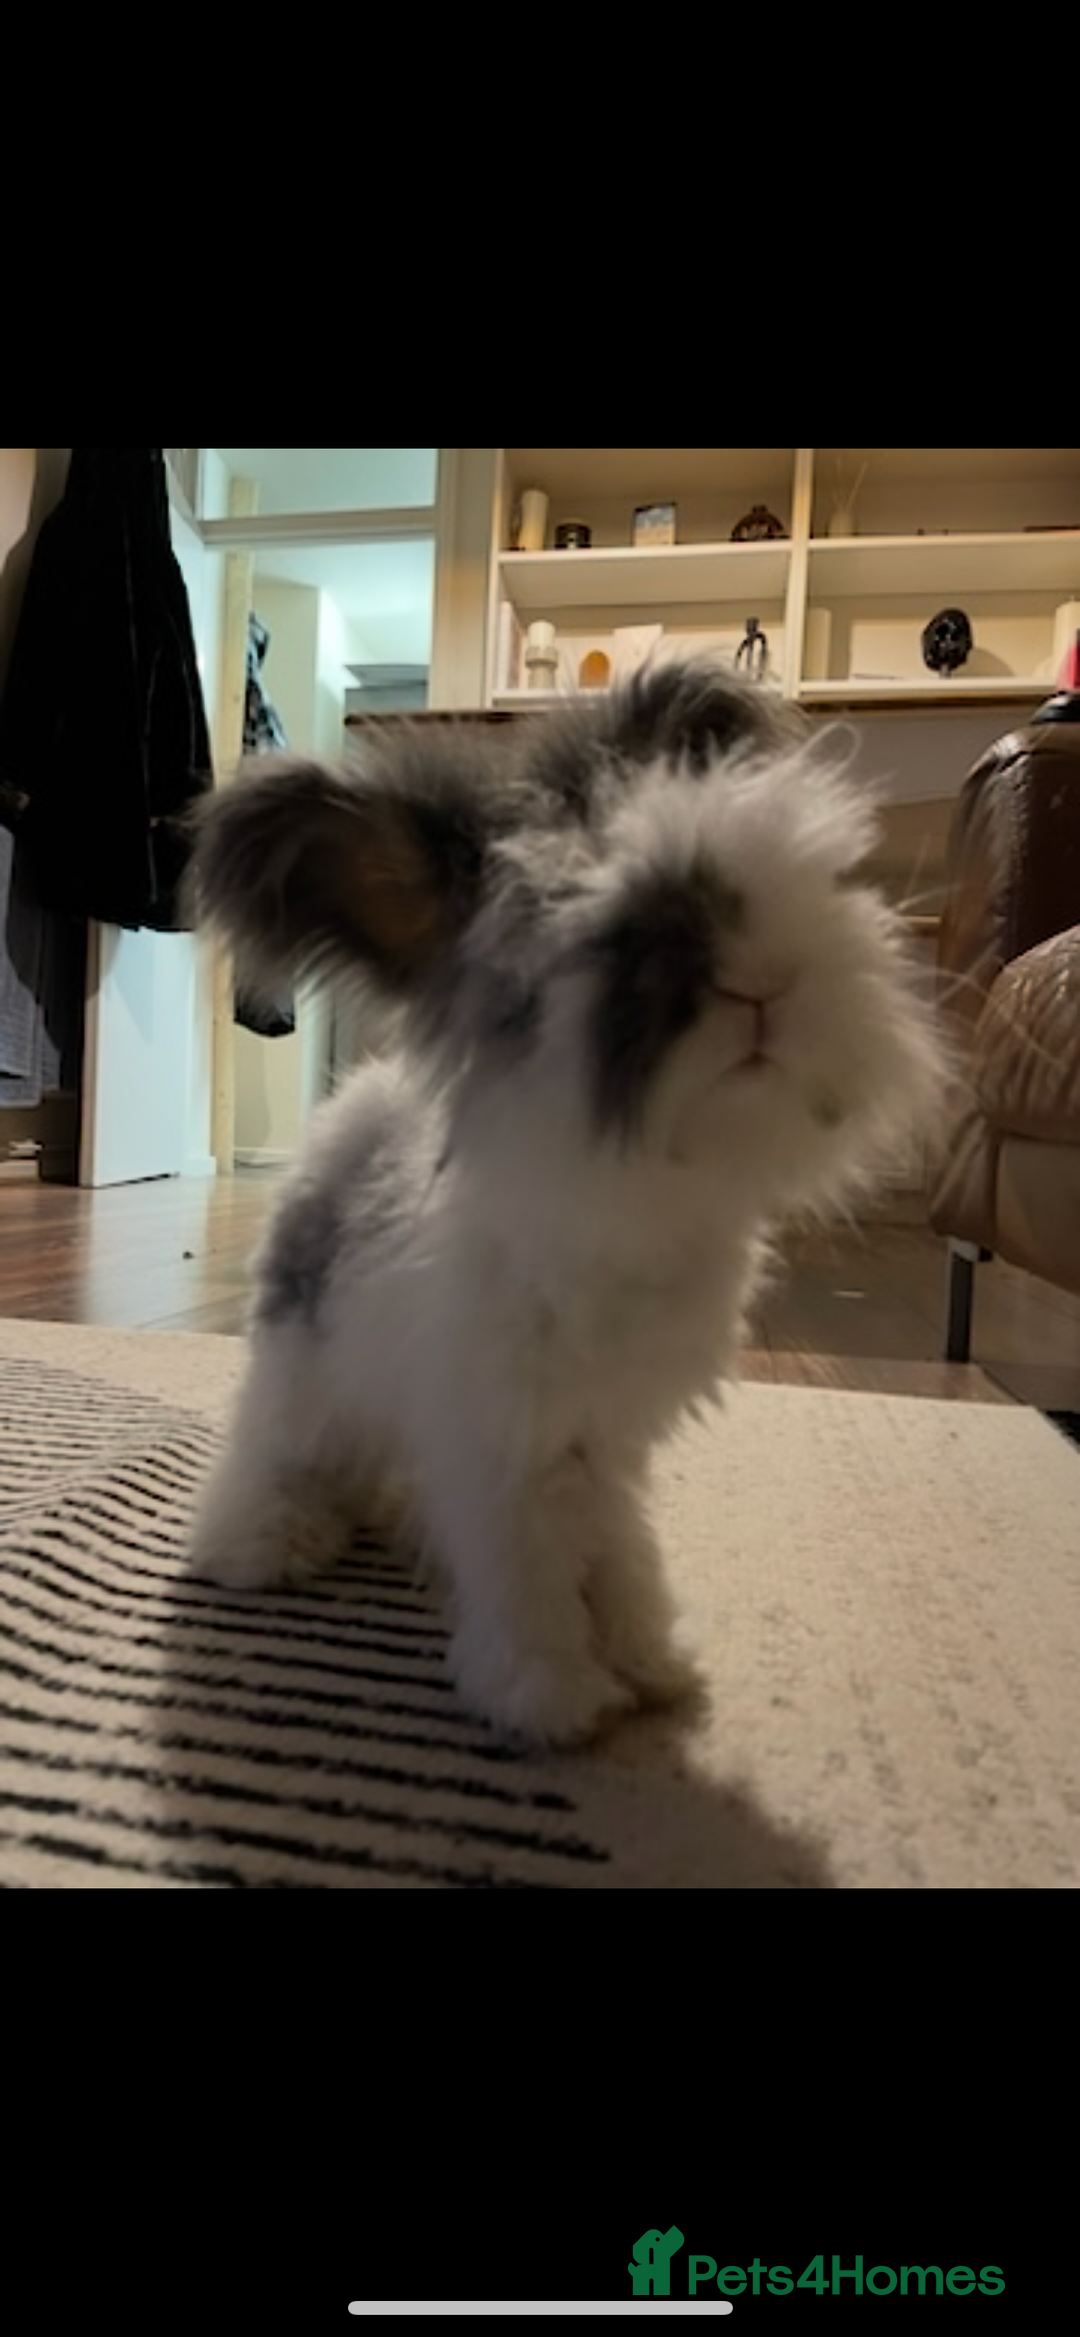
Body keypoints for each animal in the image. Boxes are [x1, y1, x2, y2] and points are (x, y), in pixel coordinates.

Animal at [185, 658, 947, 1748]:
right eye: (606, 940)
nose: (766, 981)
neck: (624, 1199)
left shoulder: (606, 1441)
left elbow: (618, 1549)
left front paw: (653, 1659)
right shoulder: (505, 1441)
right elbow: (529, 1570)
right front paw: (555, 1699)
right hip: (304, 1356)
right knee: (279, 1443)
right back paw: (264, 1544)